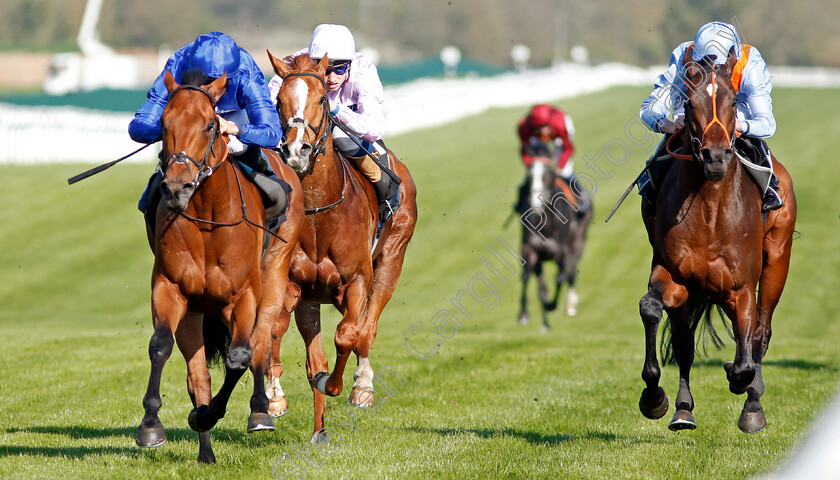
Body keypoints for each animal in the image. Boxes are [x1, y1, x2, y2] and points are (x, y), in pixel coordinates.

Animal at [136, 70, 306, 462]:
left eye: (210, 124)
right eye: (164, 124)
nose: (177, 188)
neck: (207, 221)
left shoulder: (241, 296)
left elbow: (240, 356)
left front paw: (212, 414)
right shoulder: (171, 288)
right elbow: (160, 345)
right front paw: (152, 425)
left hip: (273, 275)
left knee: (261, 342)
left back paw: (260, 410)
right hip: (196, 312)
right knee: (198, 375)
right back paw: (206, 452)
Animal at [266, 52, 416, 442]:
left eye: (321, 99)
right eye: (279, 101)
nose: (296, 150)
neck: (320, 212)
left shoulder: (357, 280)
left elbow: (349, 334)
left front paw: (341, 385)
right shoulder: (293, 284)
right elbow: (275, 330)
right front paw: (274, 397)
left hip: (391, 259)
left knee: (367, 328)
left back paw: (362, 386)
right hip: (311, 298)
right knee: (314, 354)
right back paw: (319, 430)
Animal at [520, 146, 592, 332]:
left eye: (547, 174)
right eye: (530, 175)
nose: (535, 202)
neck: (546, 223)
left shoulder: (562, 253)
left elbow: (560, 278)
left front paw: (552, 305)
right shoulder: (530, 251)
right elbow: (530, 279)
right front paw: (525, 314)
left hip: (579, 241)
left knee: (571, 274)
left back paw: (571, 304)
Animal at [640, 47, 796, 434]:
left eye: (733, 100)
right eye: (688, 102)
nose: (714, 156)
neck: (709, 206)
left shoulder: (740, 287)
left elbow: (745, 355)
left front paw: (742, 384)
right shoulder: (674, 275)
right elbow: (652, 310)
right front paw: (654, 397)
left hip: (777, 260)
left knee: (760, 333)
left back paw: (753, 403)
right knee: (684, 342)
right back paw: (683, 409)